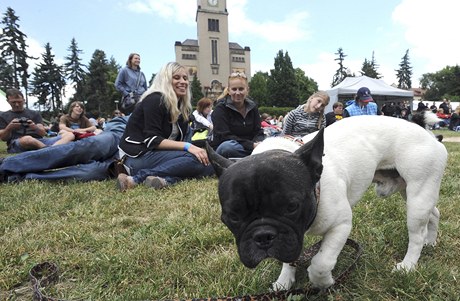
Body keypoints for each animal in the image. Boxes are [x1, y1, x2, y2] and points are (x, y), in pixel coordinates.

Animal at [207, 112, 448, 288]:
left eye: (291, 207)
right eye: (232, 216)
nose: (263, 235)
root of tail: (429, 136)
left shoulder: (340, 226)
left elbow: (321, 262)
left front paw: (323, 282)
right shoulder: (292, 238)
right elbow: (289, 257)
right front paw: (284, 281)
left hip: (417, 197)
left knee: (416, 234)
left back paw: (408, 265)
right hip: (412, 192)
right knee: (434, 213)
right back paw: (431, 241)